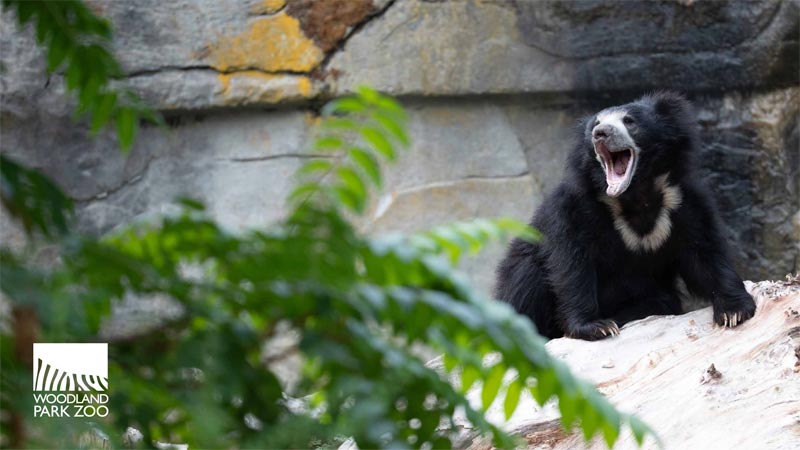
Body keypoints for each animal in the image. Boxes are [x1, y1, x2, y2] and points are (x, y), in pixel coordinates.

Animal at [494, 92, 756, 341]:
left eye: (629, 121)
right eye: (596, 123)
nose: (600, 134)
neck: (635, 193)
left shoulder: (683, 201)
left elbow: (704, 251)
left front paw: (734, 311)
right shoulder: (573, 207)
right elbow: (572, 262)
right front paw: (596, 327)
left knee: (661, 301)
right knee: (526, 277)